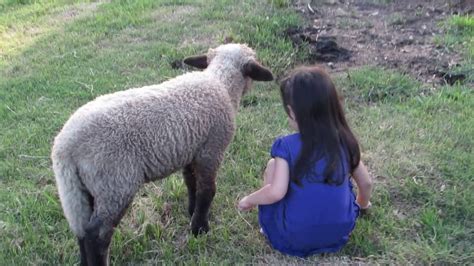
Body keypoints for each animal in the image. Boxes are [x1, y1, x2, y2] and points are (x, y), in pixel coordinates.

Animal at [51, 42, 274, 264]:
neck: (221, 83)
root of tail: (64, 147)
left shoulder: (190, 151)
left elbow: (191, 184)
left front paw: (192, 212)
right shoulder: (211, 150)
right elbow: (207, 190)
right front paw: (199, 229)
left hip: (81, 188)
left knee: (81, 229)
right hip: (115, 183)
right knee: (96, 235)